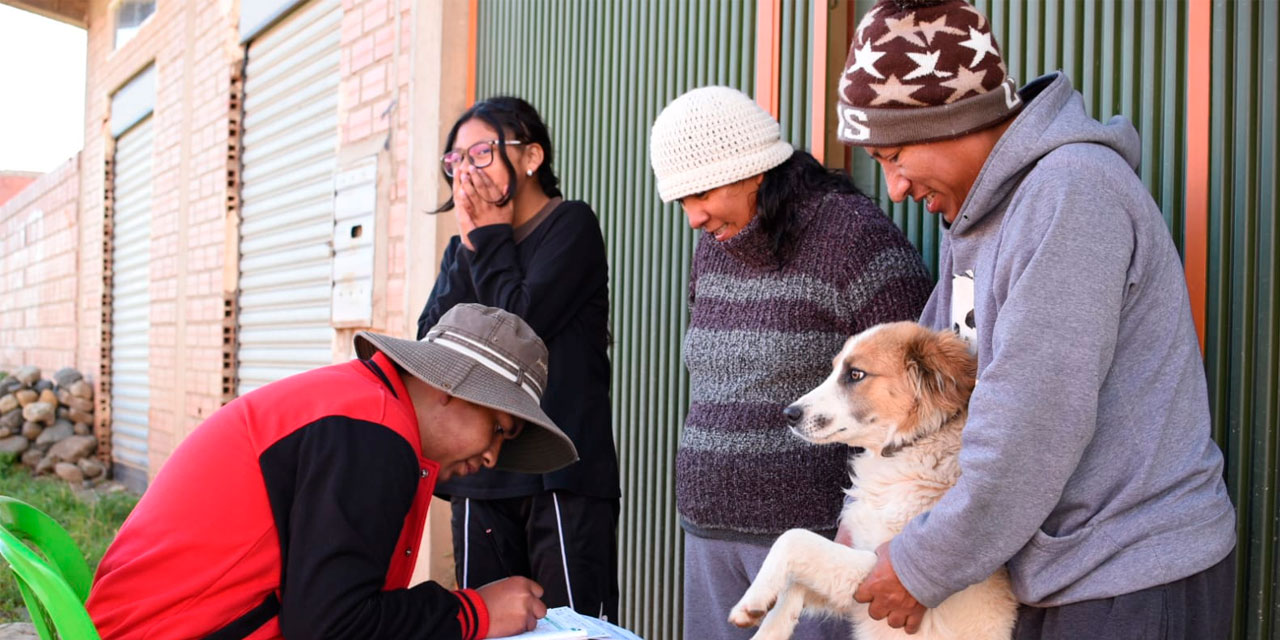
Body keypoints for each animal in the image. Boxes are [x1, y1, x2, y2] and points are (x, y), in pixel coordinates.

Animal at [732, 325, 1018, 640]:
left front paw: (752, 601)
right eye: (835, 369)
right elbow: (793, 585)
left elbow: (794, 539)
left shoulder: (879, 571)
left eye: (856, 374)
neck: (907, 448)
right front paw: (769, 627)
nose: (789, 414)